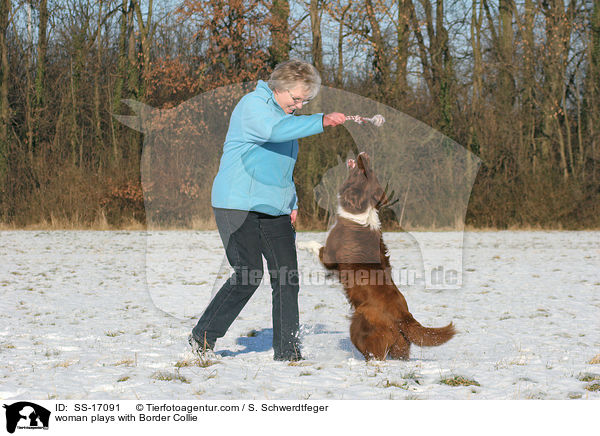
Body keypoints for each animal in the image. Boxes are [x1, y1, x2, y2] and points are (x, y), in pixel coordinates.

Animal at [314, 152, 454, 360]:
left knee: (374, 351)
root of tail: (404, 315)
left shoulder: (330, 255)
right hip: (400, 340)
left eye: (366, 170)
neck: (362, 207)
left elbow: (316, 247)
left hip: (360, 323)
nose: (364, 154)